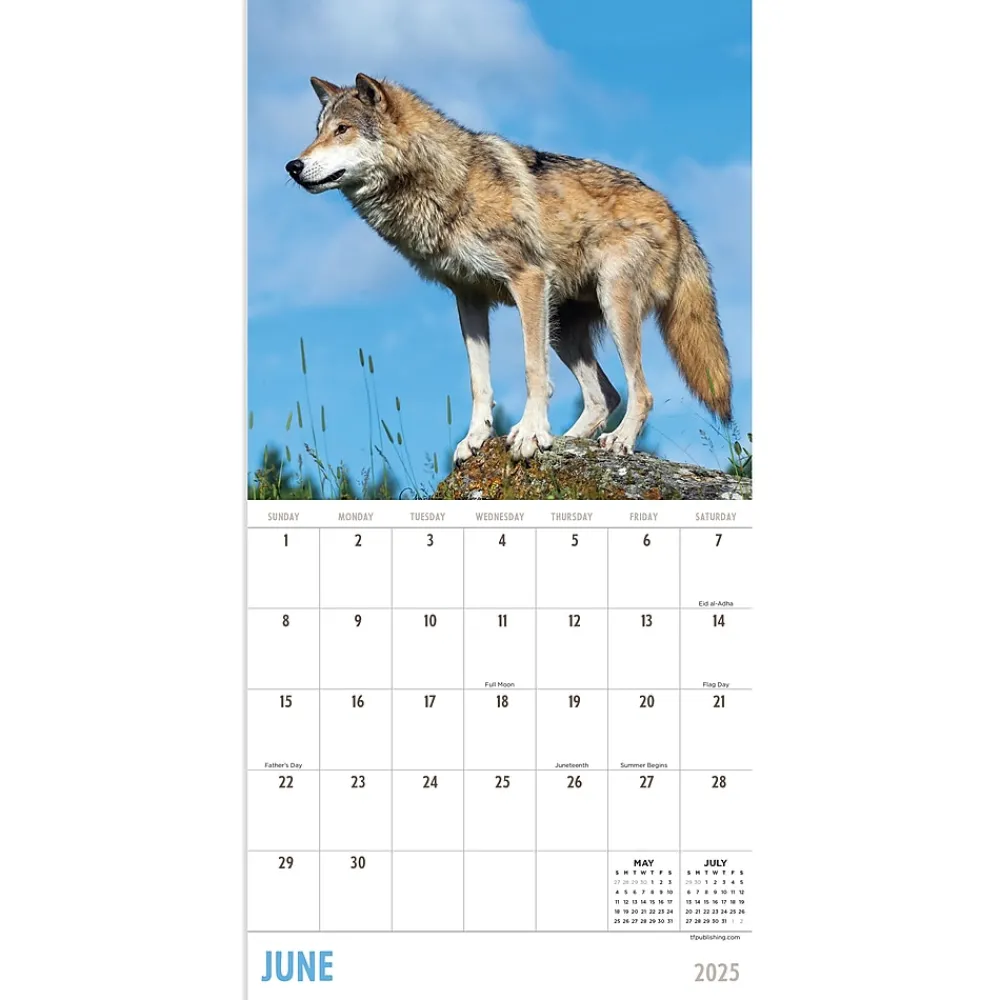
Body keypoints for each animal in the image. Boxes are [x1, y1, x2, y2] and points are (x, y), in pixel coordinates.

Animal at [286, 73, 732, 463]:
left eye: (342, 130)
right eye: (317, 130)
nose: (293, 166)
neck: (449, 183)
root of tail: (675, 213)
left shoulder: (527, 281)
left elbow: (533, 371)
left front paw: (530, 435)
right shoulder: (467, 298)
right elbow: (478, 382)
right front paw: (477, 438)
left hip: (611, 304)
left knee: (640, 392)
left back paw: (617, 442)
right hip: (562, 328)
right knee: (605, 396)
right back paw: (568, 441)